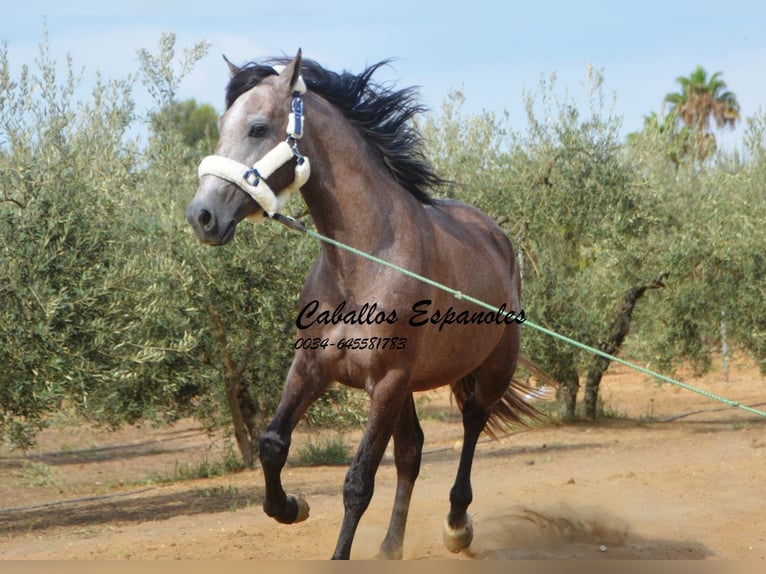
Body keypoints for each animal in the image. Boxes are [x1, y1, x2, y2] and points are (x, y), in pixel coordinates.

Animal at [188, 50, 536, 564]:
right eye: (220, 126)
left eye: (257, 127)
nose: (202, 216)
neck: (364, 262)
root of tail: (497, 238)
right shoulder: (311, 368)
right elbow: (272, 444)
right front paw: (291, 507)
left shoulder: (387, 383)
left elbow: (358, 482)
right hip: (409, 389)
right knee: (412, 451)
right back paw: (391, 546)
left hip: (491, 370)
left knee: (473, 422)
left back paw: (457, 526)